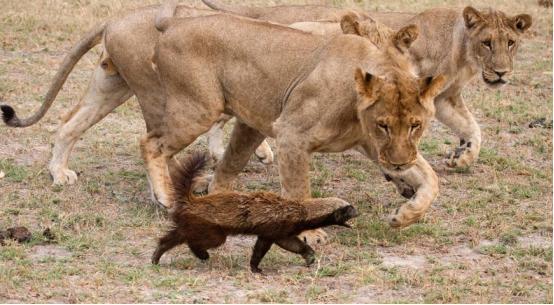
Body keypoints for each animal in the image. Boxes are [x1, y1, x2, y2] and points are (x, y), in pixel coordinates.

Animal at [152, 151, 354, 270]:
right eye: (348, 210)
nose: (357, 212)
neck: (302, 210)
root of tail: (192, 201)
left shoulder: (281, 229)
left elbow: (294, 244)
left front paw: (310, 257)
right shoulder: (275, 228)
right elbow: (266, 247)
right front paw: (256, 268)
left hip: (192, 223)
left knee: (172, 237)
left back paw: (156, 257)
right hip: (210, 229)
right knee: (194, 241)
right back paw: (202, 255)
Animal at [202, 0, 532, 167]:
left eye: (511, 42)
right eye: (487, 42)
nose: (501, 73)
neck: (461, 51)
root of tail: (267, 12)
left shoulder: (444, 99)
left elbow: (472, 129)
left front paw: (462, 157)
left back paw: (223, 153)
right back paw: (258, 151)